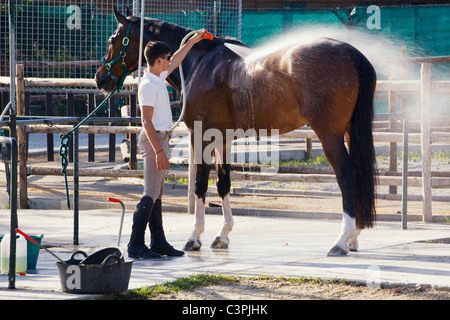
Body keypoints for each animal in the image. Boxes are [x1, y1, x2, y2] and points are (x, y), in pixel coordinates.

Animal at [95, 7, 376, 256]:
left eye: (112, 39)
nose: (100, 78)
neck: (199, 63)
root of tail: (351, 53)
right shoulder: (222, 138)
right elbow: (223, 183)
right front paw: (223, 235)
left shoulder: (202, 135)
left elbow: (199, 183)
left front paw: (195, 237)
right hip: (349, 133)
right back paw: (354, 239)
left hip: (329, 135)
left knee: (347, 175)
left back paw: (341, 241)